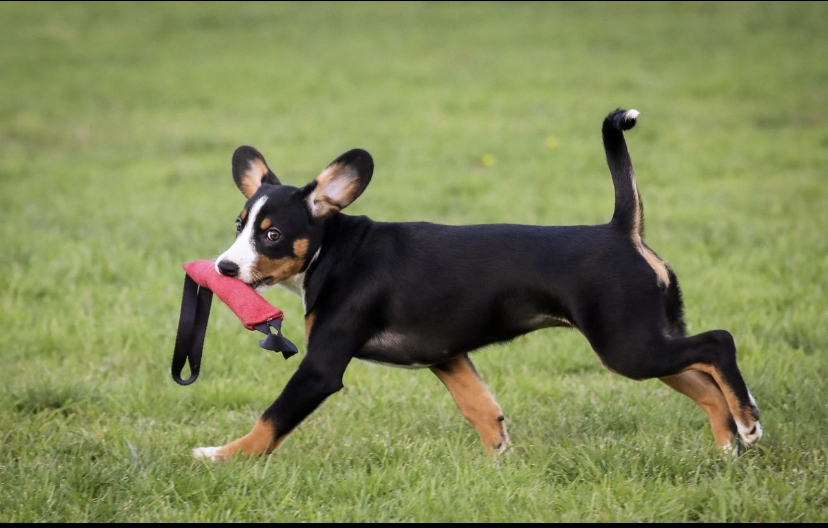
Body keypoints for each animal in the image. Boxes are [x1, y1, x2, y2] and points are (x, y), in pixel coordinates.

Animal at [192, 109, 764, 460]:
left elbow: (270, 421)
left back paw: (748, 421)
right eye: (238, 226)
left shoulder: (320, 368)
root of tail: (622, 230)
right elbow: (482, 410)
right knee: (705, 380)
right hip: (646, 339)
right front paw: (499, 462)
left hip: (629, 344)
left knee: (718, 344)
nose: (223, 268)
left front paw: (221, 456)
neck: (335, 253)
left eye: (271, 235)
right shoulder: (447, 355)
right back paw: (728, 445)